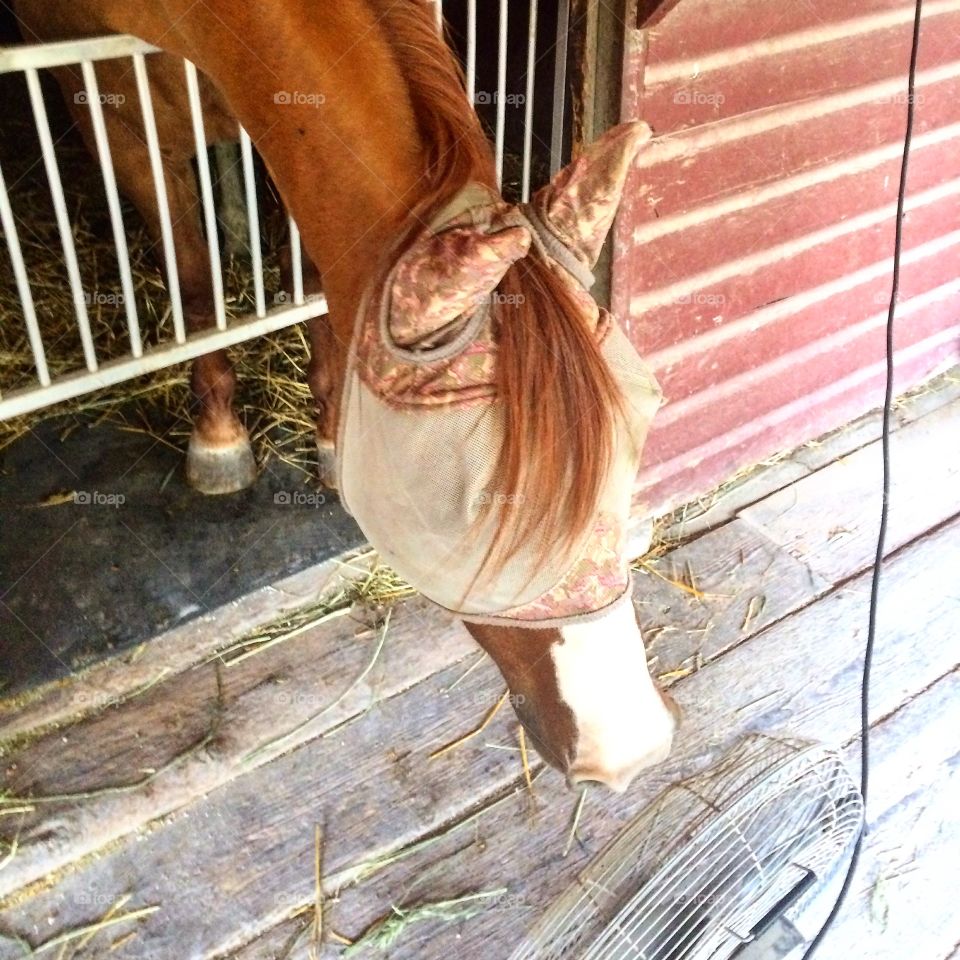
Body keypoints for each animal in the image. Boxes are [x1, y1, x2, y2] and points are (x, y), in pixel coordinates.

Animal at [11, 0, 680, 792]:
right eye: (464, 510)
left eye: (643, 424)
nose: (630, 747)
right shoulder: (121, 121)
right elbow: (195, 278)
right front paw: (218, 437)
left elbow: (317, 285)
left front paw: (329, 434)